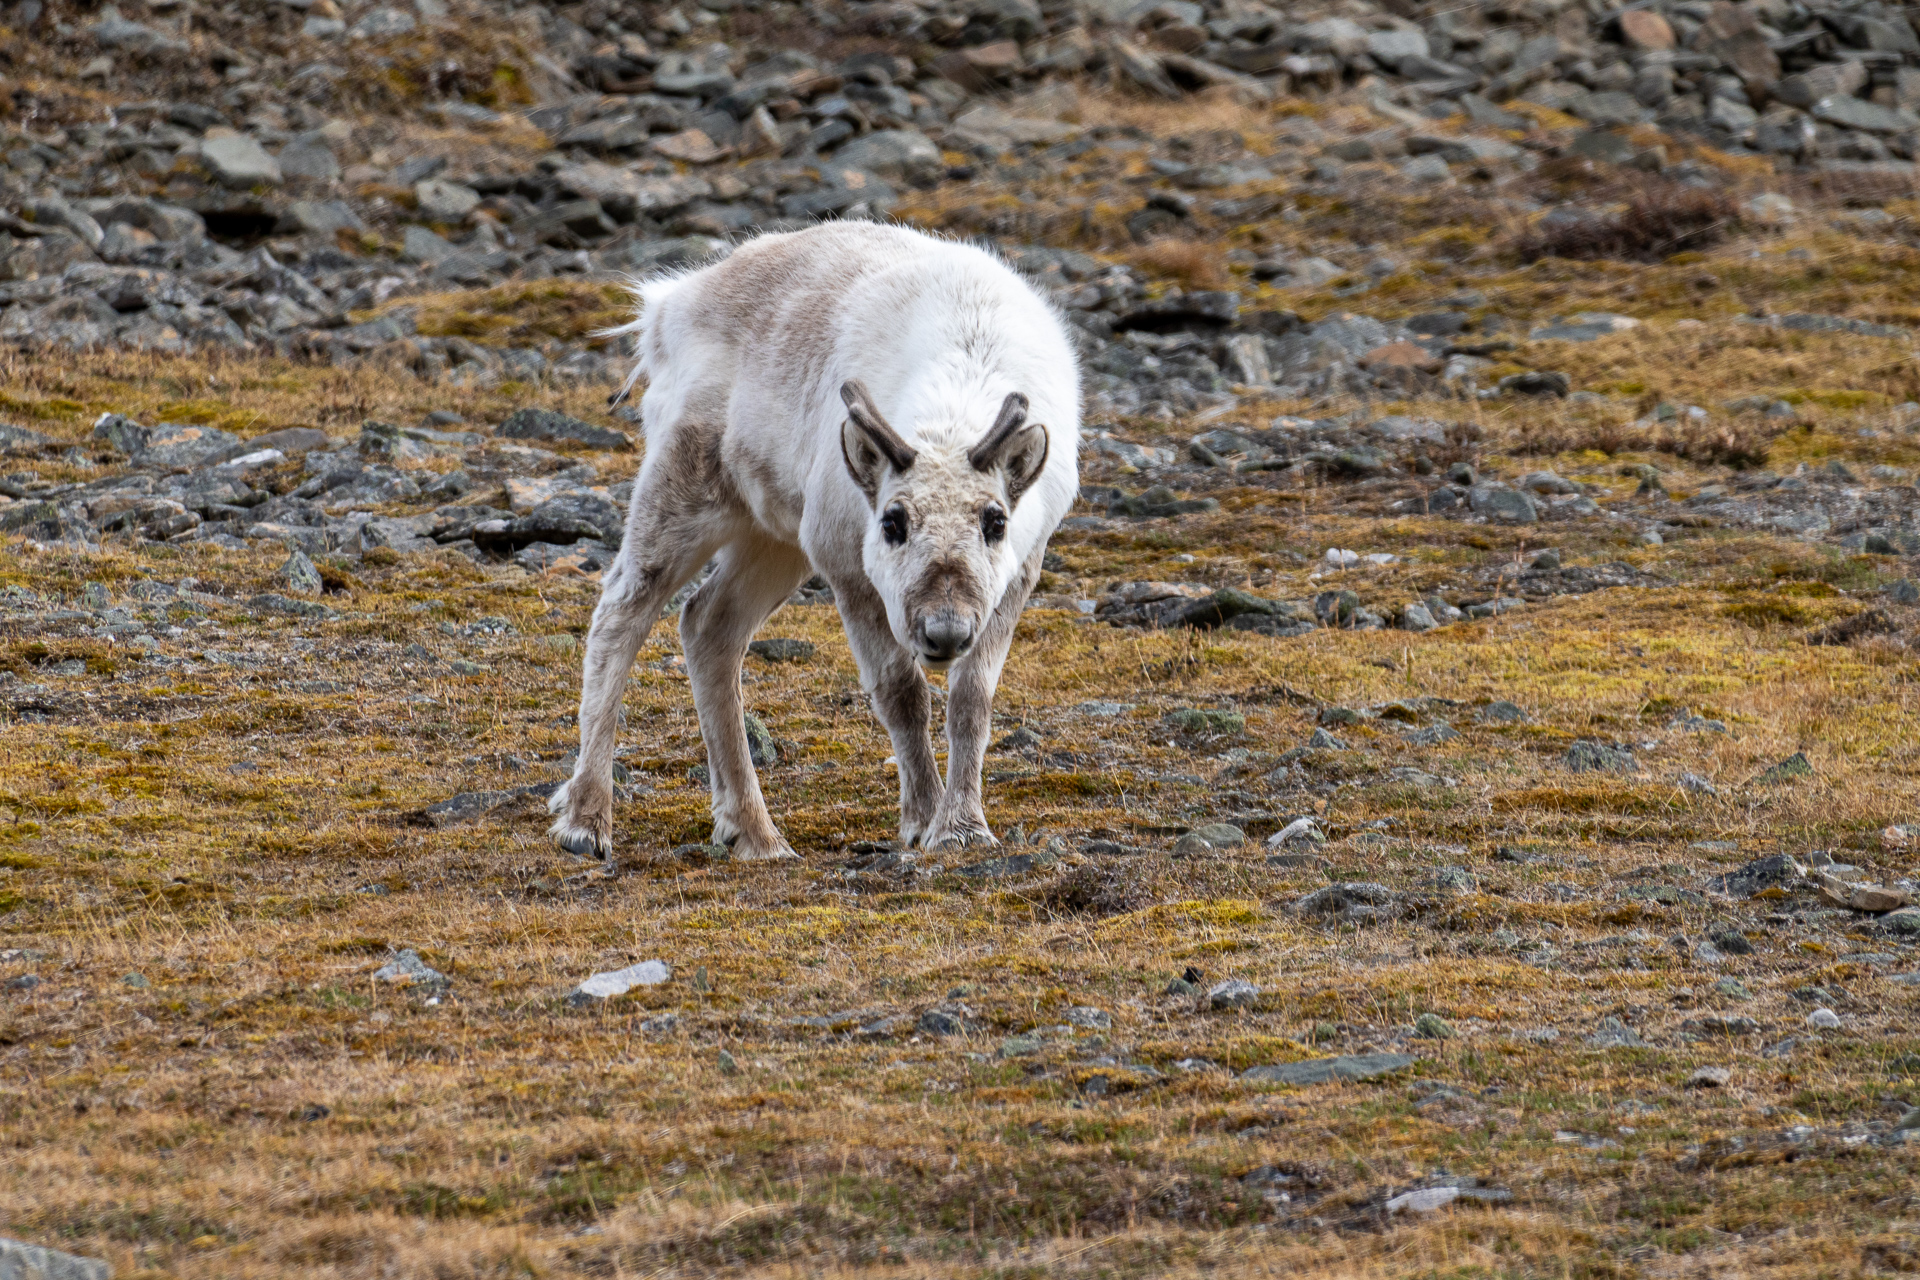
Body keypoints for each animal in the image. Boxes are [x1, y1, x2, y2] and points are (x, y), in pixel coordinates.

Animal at [547, 222, 1082, 862]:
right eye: (892, 521)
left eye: (995, 520)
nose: (944, 631)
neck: (954, 410)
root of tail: (667, 305)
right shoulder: (846, 563)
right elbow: (902, 694)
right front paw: (923, 820)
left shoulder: (1019, 572)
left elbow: (972, 700)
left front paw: (964, 828)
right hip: (685, 489)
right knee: (621, 611)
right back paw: (586, 819)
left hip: (776, 537)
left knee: (708, 623)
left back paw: (753, 832)